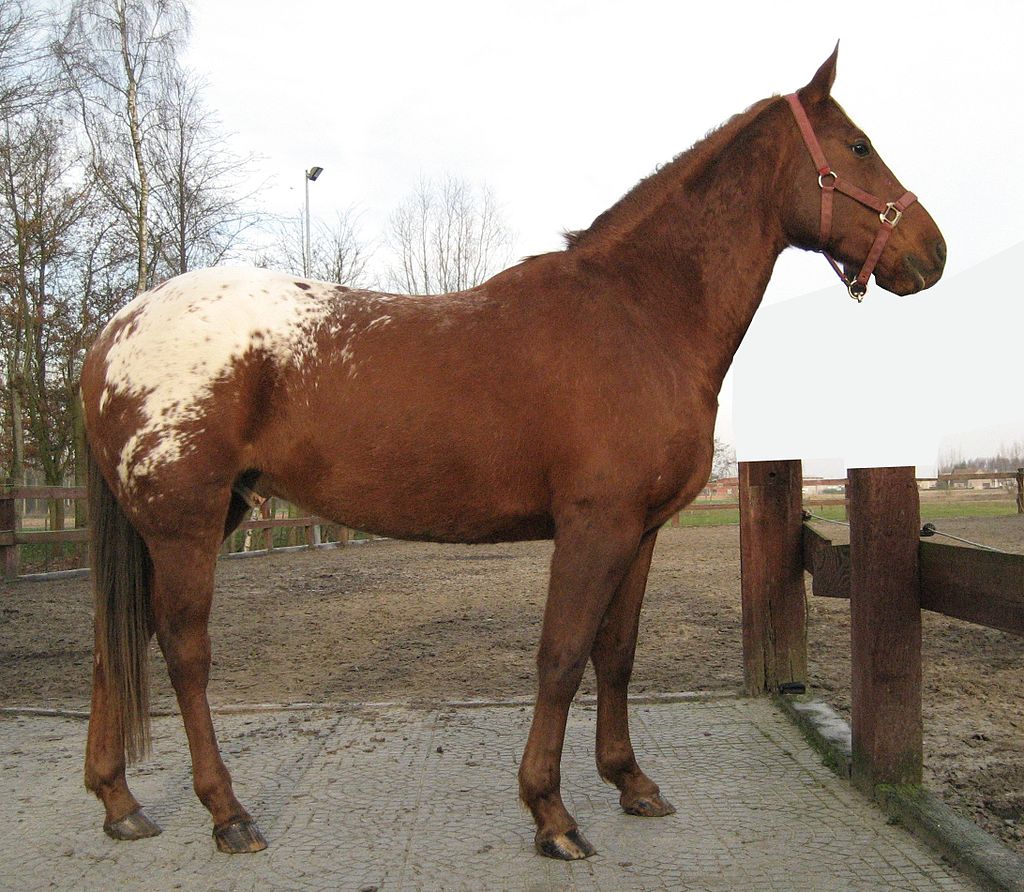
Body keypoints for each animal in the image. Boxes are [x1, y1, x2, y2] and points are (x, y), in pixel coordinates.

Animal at [79, 47, 942, 856]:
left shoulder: (641, 530)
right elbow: (561, 656)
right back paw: (227, 814)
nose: (931, 252)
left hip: (193, 520)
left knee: (114, 642)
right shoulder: (595, 525)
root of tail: (116, 329)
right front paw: (551, 813)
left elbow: (615, 654)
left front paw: (630, 782)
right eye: (859, 146)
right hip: (187, 523)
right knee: (183, 650)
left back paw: (119, 804)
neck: (640, 314)